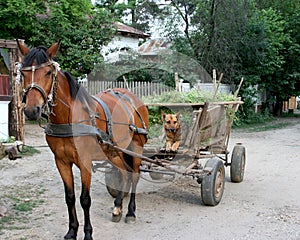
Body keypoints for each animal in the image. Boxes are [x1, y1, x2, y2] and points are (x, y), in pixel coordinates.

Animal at [17, 40, 148, 239]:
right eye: (23, 73)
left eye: (48, 72)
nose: (32, 110)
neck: (68, 118)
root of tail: (131, 96)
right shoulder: (61, 161)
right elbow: (70, 197)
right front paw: (72, 231)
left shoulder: (85, 161)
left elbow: (85, 199)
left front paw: (87, 233)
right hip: (113, 151)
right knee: (124, 174)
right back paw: (118, 208)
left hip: (136, 147)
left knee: (134, 175)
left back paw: (131, 212)